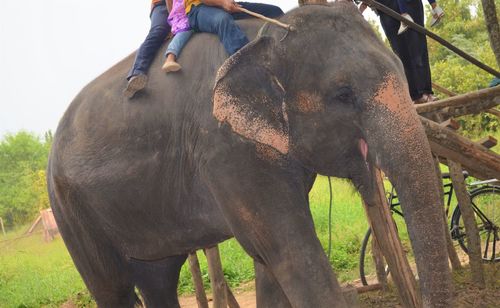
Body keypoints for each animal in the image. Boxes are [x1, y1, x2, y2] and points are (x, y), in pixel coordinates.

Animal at [47, 2, 454, 308]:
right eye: (343, 95)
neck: (265, 40)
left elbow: (269, 263)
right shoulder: (224, 148)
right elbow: (286, 251)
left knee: (158, 280)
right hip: (69, 210)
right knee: (113, 288)